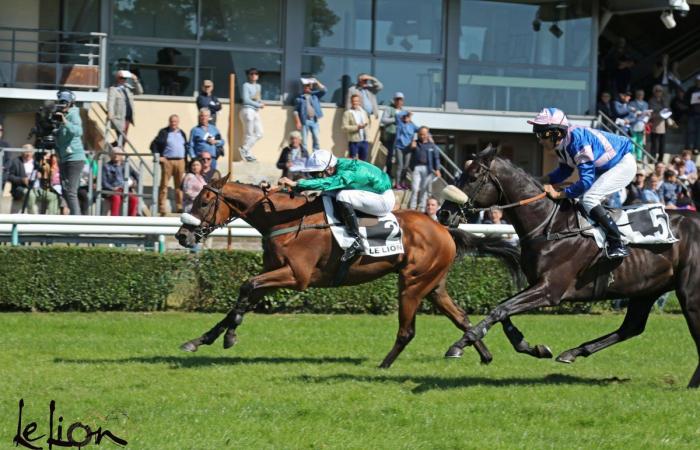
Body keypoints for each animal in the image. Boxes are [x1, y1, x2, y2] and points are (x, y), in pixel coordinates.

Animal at [175, 174, 520, 368]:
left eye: (203, 202)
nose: (182, 235)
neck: (284, 219)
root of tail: (443, 228)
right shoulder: (275, 273)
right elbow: (243, 297)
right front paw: (202, 339)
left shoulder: (297, 276)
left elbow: (246, 287)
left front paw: (228, 335)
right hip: (433, 285)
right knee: (460, 317)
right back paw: (481, 354)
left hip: (412, 284)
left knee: (408, 330)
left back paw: (384, 365)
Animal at [440, 145, 700, 386]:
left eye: (472, 177)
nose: (444, 214)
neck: (550, 226)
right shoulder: (538, 285)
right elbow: (502, 309)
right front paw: (533, 347)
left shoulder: (550, 290)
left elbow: (500, 309)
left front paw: (459, 345)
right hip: (646, 289)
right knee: (631, 327)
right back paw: (572, 353)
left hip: (688, 293)